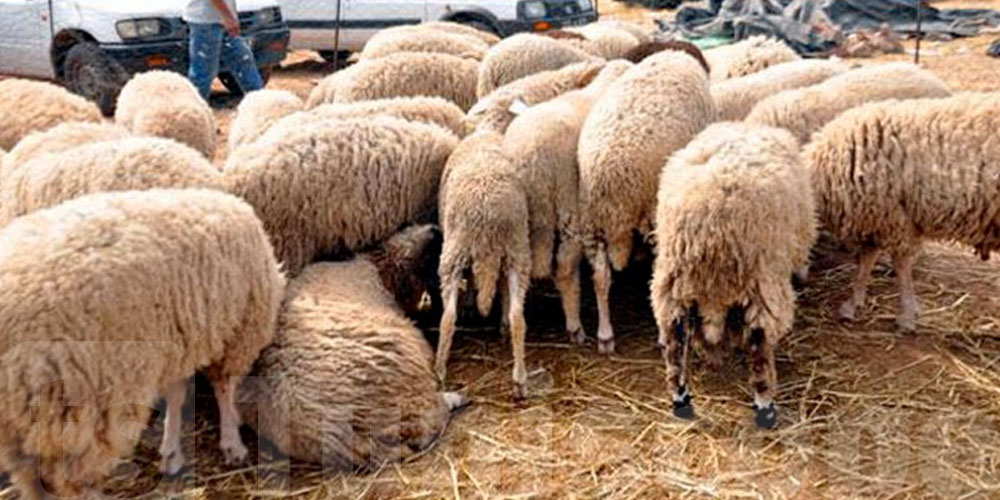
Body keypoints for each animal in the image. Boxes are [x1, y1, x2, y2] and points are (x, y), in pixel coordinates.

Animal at [0, 188, 284, 499]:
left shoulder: (176, 341)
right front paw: (232, 442)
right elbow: (224, 388)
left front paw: (172, 453)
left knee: (35, 479)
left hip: (22, 426)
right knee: (74, 478)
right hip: (84, 401)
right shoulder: (238, 329)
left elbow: (177, 394)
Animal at [437, 131, 531, 398]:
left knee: (448, 317)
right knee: (518, 315)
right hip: (516, 251)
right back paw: (520, 379)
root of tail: (488, 214)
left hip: (454, 250)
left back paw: (439, 370)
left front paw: (470, 302)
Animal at [578, 49, 715, 354]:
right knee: (658, 282)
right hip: (653, 212)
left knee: (600, 277)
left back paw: (605, 335)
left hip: (593, 220)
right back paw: (664, 337)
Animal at [651, 122, 815, 429]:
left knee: (674, 344)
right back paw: (765, 407)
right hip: (759, 281)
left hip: (673, 284)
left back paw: (681, 401)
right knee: (759, 344)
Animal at [806, 92, 1000, 332]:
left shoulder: (891, 215)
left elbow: (899, 263)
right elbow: (868, 258)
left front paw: (907, 314)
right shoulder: (877, 217)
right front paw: (854, 302)